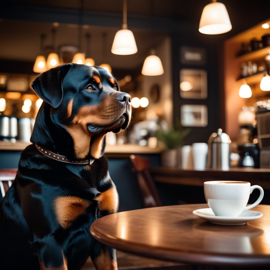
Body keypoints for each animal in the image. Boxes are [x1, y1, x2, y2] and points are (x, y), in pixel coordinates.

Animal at [0, 64, 131, 270]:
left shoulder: (103, 231)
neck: (79, 163)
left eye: (115, 86)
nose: (127, 97)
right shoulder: (50, 241)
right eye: (90, 87)